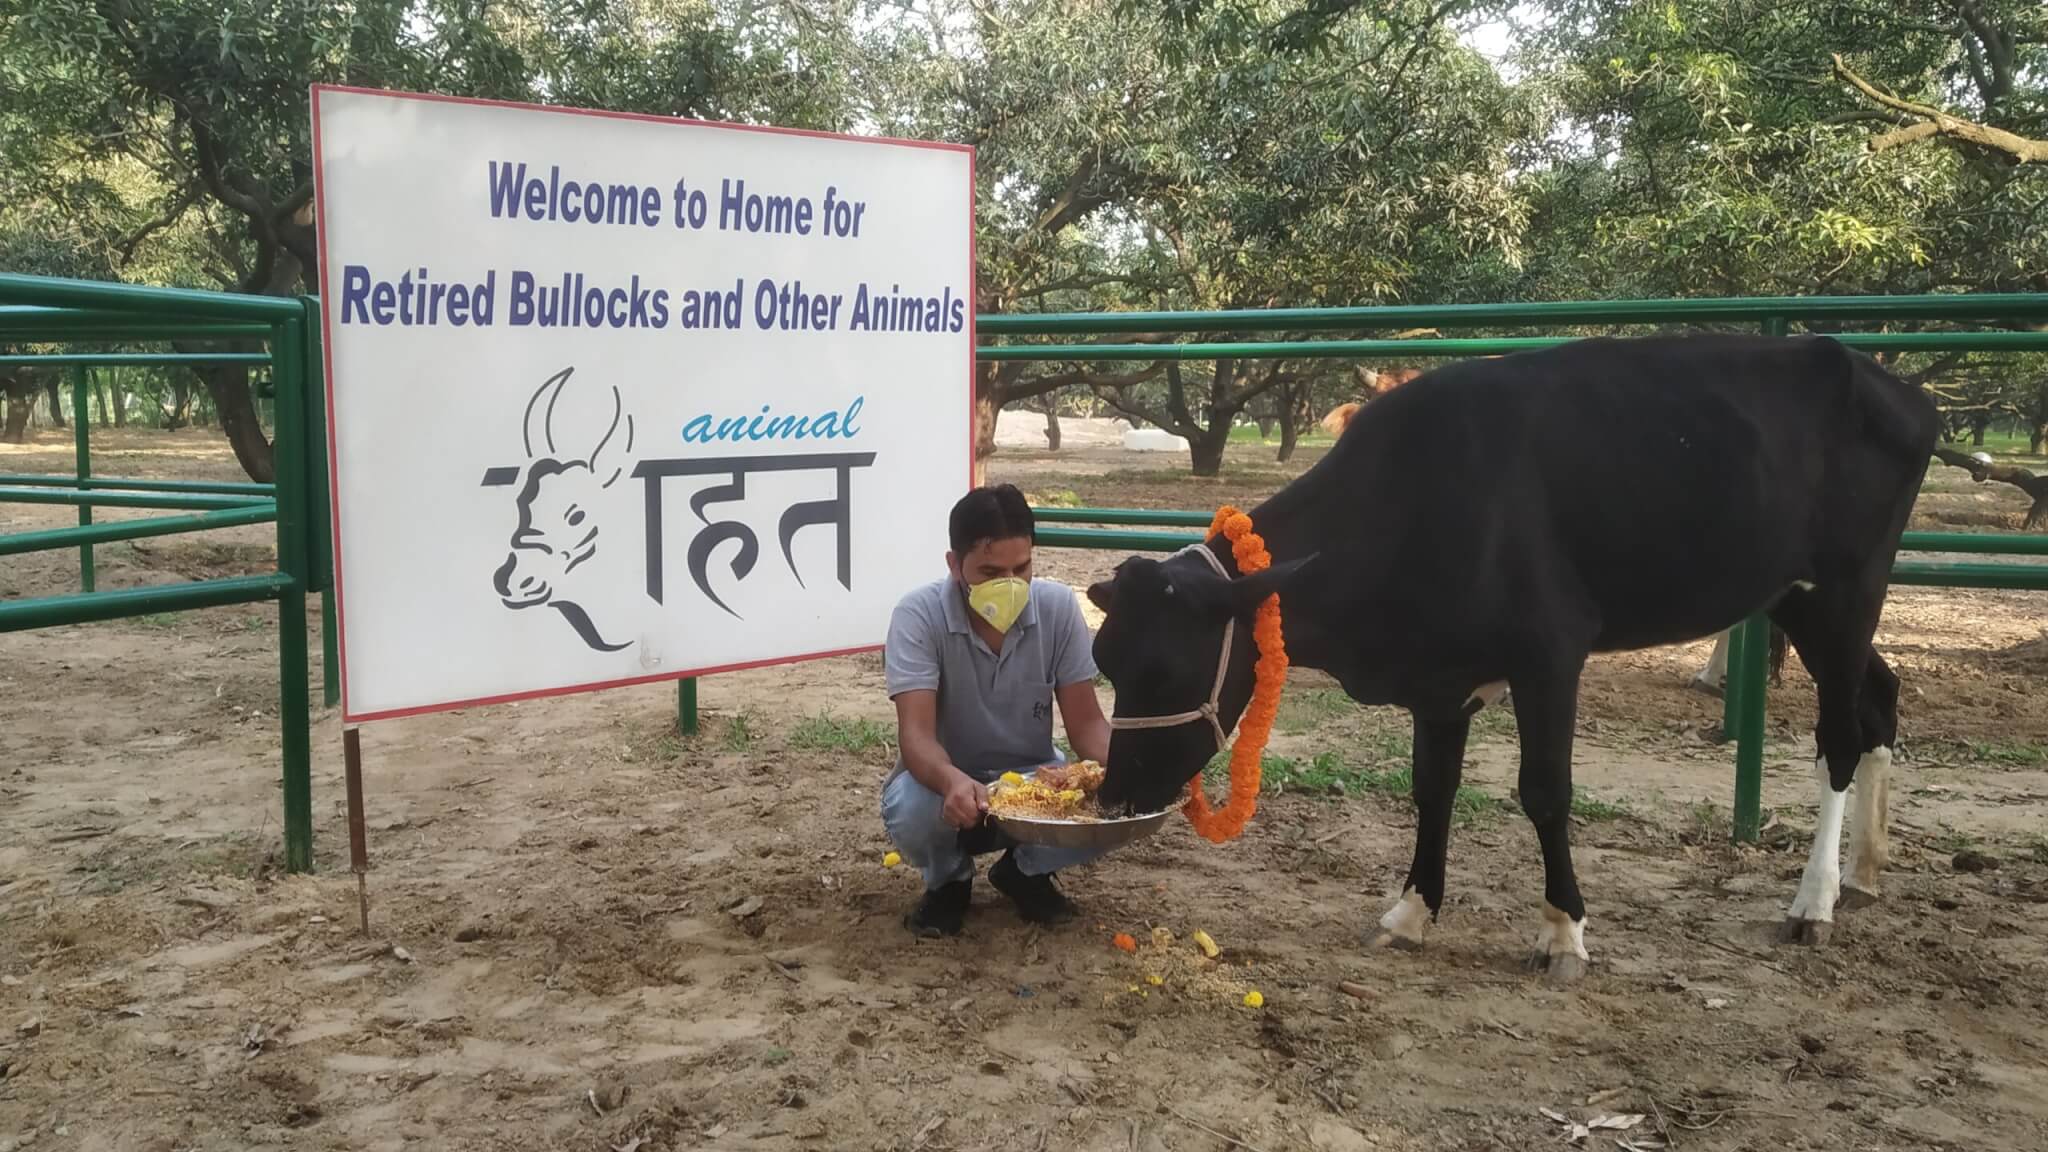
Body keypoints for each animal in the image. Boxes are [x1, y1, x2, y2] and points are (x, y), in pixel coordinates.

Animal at [1089, 330, 1933, 975]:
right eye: (1107, 663)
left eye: (1165, 670)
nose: (1113, 797)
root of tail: (1884, 379)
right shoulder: (1439, 679)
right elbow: (1431, 789)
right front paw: (1410, 911)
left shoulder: (1549, 654)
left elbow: (1545, 792)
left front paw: (1564, 932)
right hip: (1797, 596)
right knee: (1878, 701)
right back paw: (1864, 871)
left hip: (1849, 587)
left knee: (1840, 734)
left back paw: (1815, 900)